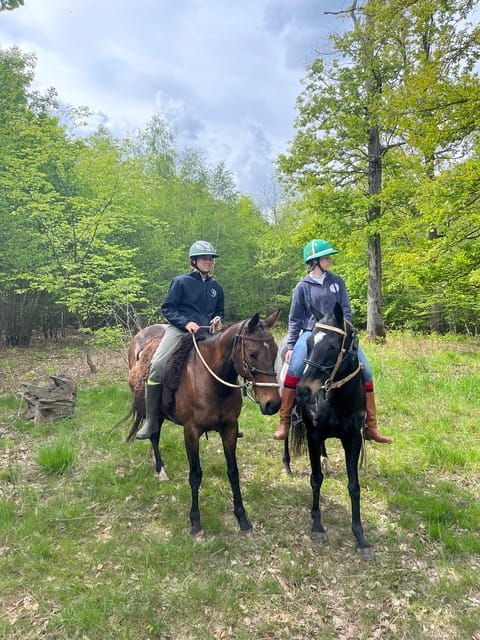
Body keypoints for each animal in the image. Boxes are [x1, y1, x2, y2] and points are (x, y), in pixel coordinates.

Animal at [126, 312, 281, 535]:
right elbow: (195, 475)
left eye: (276, 352)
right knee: (154, 434)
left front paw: (242, 518)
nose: (273, 404)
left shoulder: (230, 429)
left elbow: (233, 472)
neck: (212, 382)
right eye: (252, 354)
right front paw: (195, 522)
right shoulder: (191, 432)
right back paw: (160, 469)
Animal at [293, 302, 374, 559]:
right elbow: (316, 479)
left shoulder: (353, 440)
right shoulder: (312, 435)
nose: (303, 391)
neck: (337, 400)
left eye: (332, 346)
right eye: (309, 343)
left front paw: (360, 537)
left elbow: (354, 487)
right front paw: (317, 526)